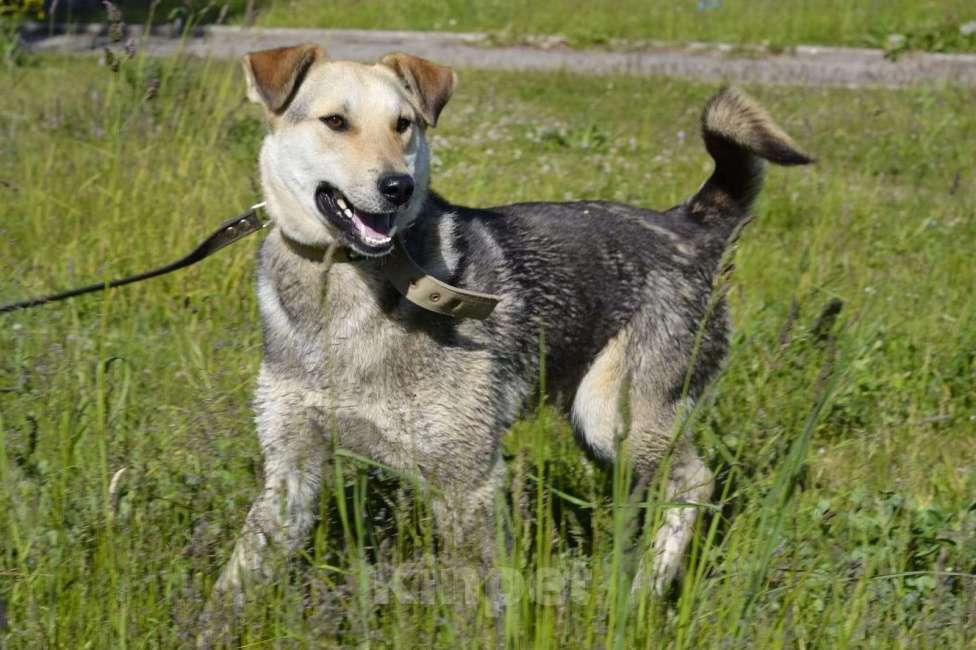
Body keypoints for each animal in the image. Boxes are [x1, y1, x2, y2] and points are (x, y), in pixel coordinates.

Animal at [212, 44, 808, 608]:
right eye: (335, 121)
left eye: (403, 125)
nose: (397, 186)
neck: (343, 285)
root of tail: (689, 225)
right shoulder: (290, 474)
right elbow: (237, 577)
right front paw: (212, 624)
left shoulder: (468, 478)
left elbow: (481, 598)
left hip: (611, 414)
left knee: (696, 480)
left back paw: (647, 590)